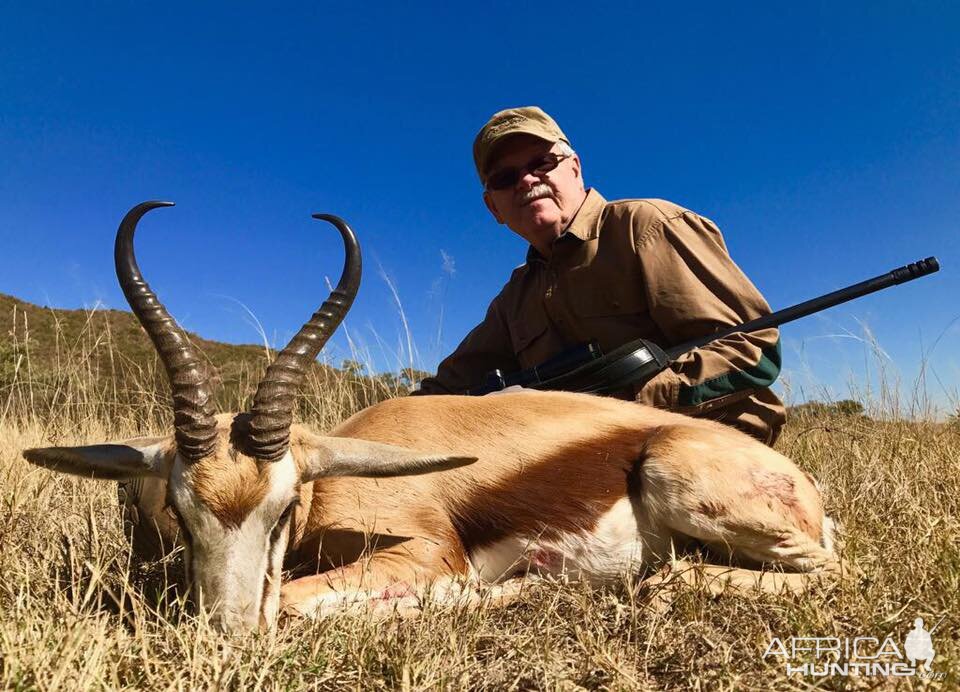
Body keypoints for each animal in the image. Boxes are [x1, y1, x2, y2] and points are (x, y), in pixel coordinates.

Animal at [22, 201, 840, 632]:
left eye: (283, 510)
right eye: (178, 509)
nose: (227, 634)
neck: (338, 478)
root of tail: (804, 487)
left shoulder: (422, 552)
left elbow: (294, 603)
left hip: (682, 485)